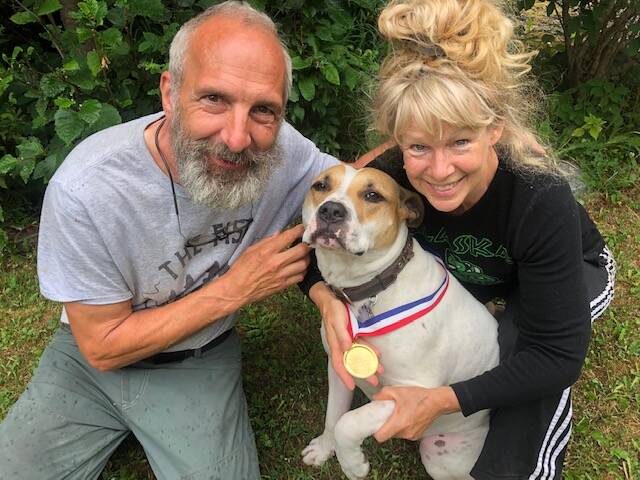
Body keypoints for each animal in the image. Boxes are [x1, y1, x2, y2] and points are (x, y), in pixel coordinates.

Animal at [300, 165, 500, 480]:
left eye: (373, 195)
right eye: (321, 186)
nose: (331, 210)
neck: (371, 291)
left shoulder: (413, 394)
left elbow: (349, 422)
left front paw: (352, 464)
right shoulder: (338, 365)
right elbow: (334, 415)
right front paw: (323, 449)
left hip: (441, 458)